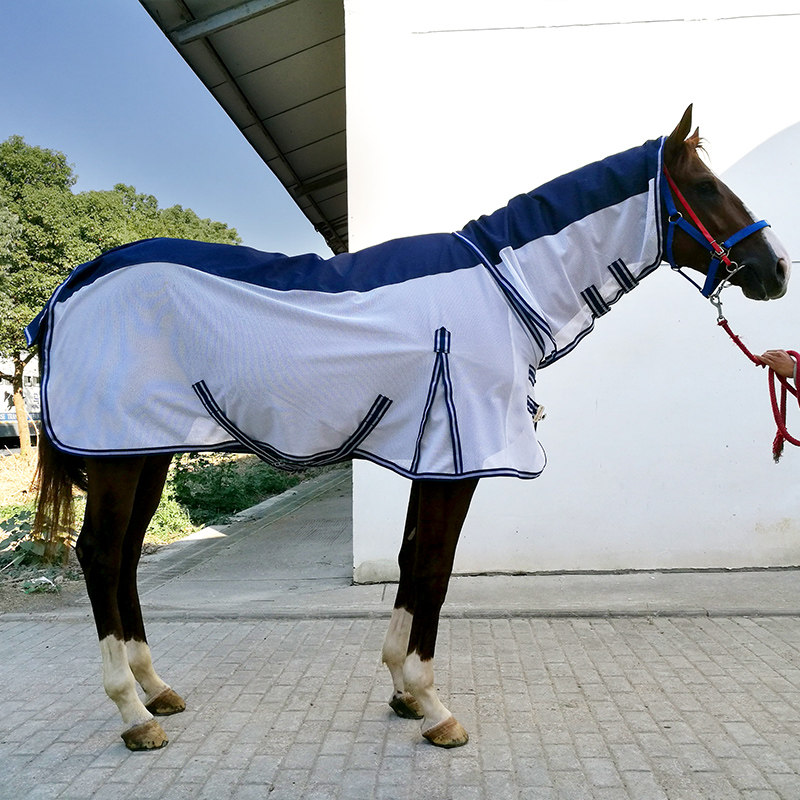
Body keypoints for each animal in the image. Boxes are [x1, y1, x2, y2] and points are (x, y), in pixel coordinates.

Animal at [29, 106, 790, 751]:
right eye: (707, 187)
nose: (776, 270)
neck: (501, 290)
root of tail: (76, 281)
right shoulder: (460, 461)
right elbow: (435, 567)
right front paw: (432, 705)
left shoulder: (435, 458)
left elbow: (409, 558)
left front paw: (400, 687)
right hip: (120, 456)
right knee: (100, 554)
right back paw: (132, 712)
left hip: (142, 451)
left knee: (127, 556)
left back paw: (156, 689)